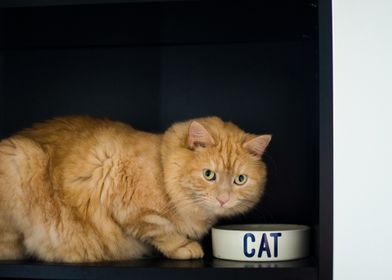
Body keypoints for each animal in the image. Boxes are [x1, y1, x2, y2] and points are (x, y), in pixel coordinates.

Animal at [0, 116, 270, 262]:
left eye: (240, 180)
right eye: (208, 175)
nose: (223, 199)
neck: (162, 170)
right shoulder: (133, 209)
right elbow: (164, 231)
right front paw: (184, 247)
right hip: (21, 157)